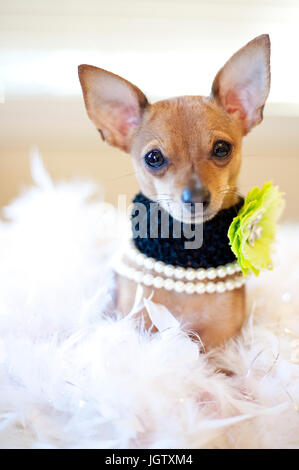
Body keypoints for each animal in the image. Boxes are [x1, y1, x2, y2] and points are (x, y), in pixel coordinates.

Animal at [78, 35, 272, 348]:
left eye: (222, 149)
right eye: (153, 158)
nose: (196, 198)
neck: (187, 256)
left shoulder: (220, 344)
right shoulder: (137, 325)